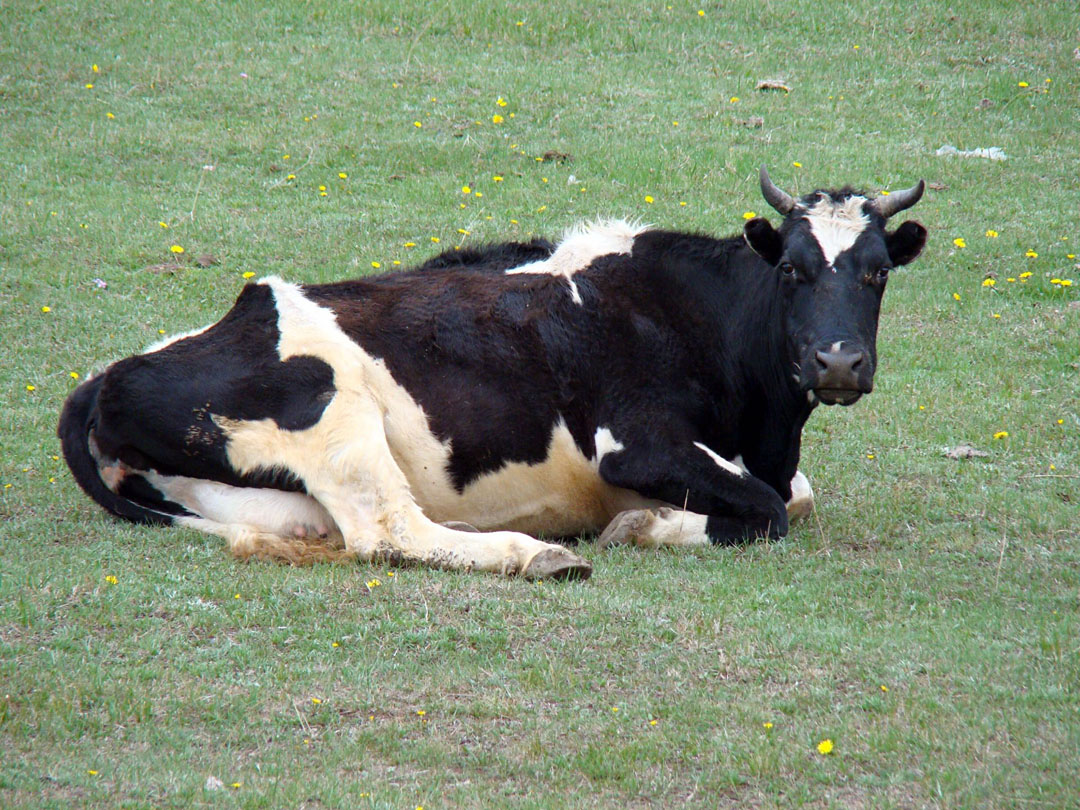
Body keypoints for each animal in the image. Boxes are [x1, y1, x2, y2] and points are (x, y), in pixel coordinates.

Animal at [56, 168, 928, 578]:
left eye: (879, 272)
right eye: (792, 270)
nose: (838, 361)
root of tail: (109, 373)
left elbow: (798, 497)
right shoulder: (635, 441)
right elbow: (771, 511)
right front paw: (638, 526)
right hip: (334, 414)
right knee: (389, 531)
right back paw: (536, 554)